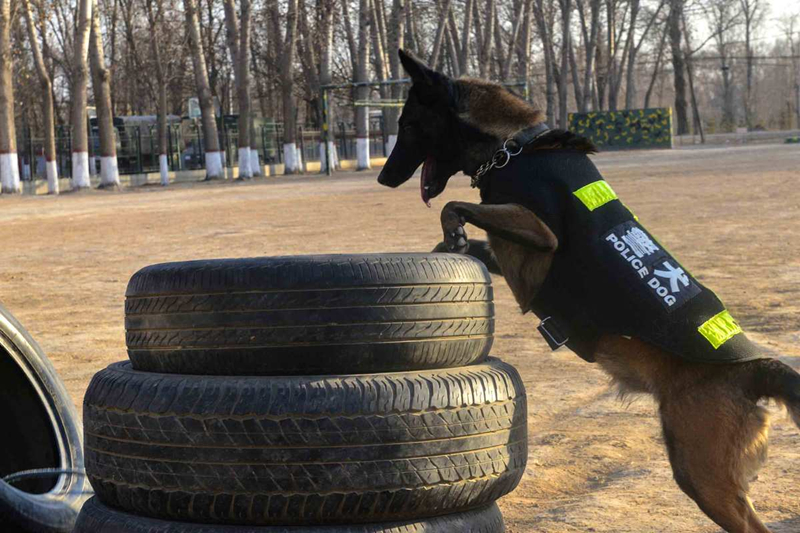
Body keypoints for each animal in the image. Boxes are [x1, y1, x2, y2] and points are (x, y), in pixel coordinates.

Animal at [376, 47, 800, 528]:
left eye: (408, 126)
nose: (383, 177)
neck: (512, 148)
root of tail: (755, 369)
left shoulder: (540, 237)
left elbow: (454, 204)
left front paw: (454, 231)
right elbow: (458, 235)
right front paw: (452, 245)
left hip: (701, 471)